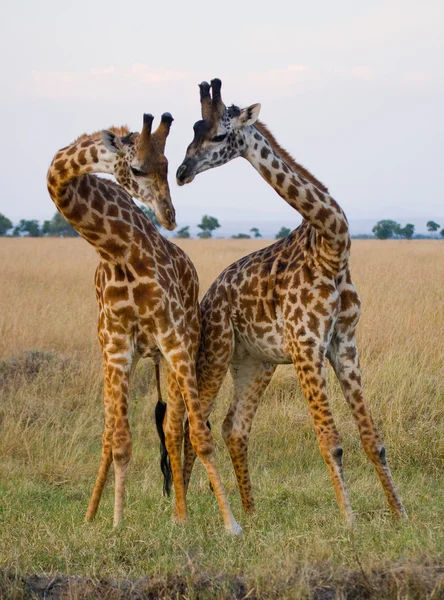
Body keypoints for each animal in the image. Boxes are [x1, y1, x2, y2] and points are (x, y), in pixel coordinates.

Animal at [46, 112, 241, 536]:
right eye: (136, 168)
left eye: (167, 165)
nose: (169, 216)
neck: (117, 251)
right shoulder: (117, 346)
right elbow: (119, 441)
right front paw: (115, 521)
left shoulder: (174, 339)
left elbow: (199, 435)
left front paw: (231, 523)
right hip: (134, 356)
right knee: (112, 432)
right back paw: (92, 514)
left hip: (174, 353)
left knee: (173, 428)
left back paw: (181, 516)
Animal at [172, 81, 408, 524]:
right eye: (193, 131)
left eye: (218, 135)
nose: (181, 172)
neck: (333, 247)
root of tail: (207, 299)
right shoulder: (305, 344)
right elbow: (331, 440)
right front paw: (350, 522)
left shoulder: (344, 343)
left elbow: (373, 438)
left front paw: (400, 515)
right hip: (214, 351)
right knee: (189, 423)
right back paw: (184, 514)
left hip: (254, 362)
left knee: (233, 427)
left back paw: (250, 513)